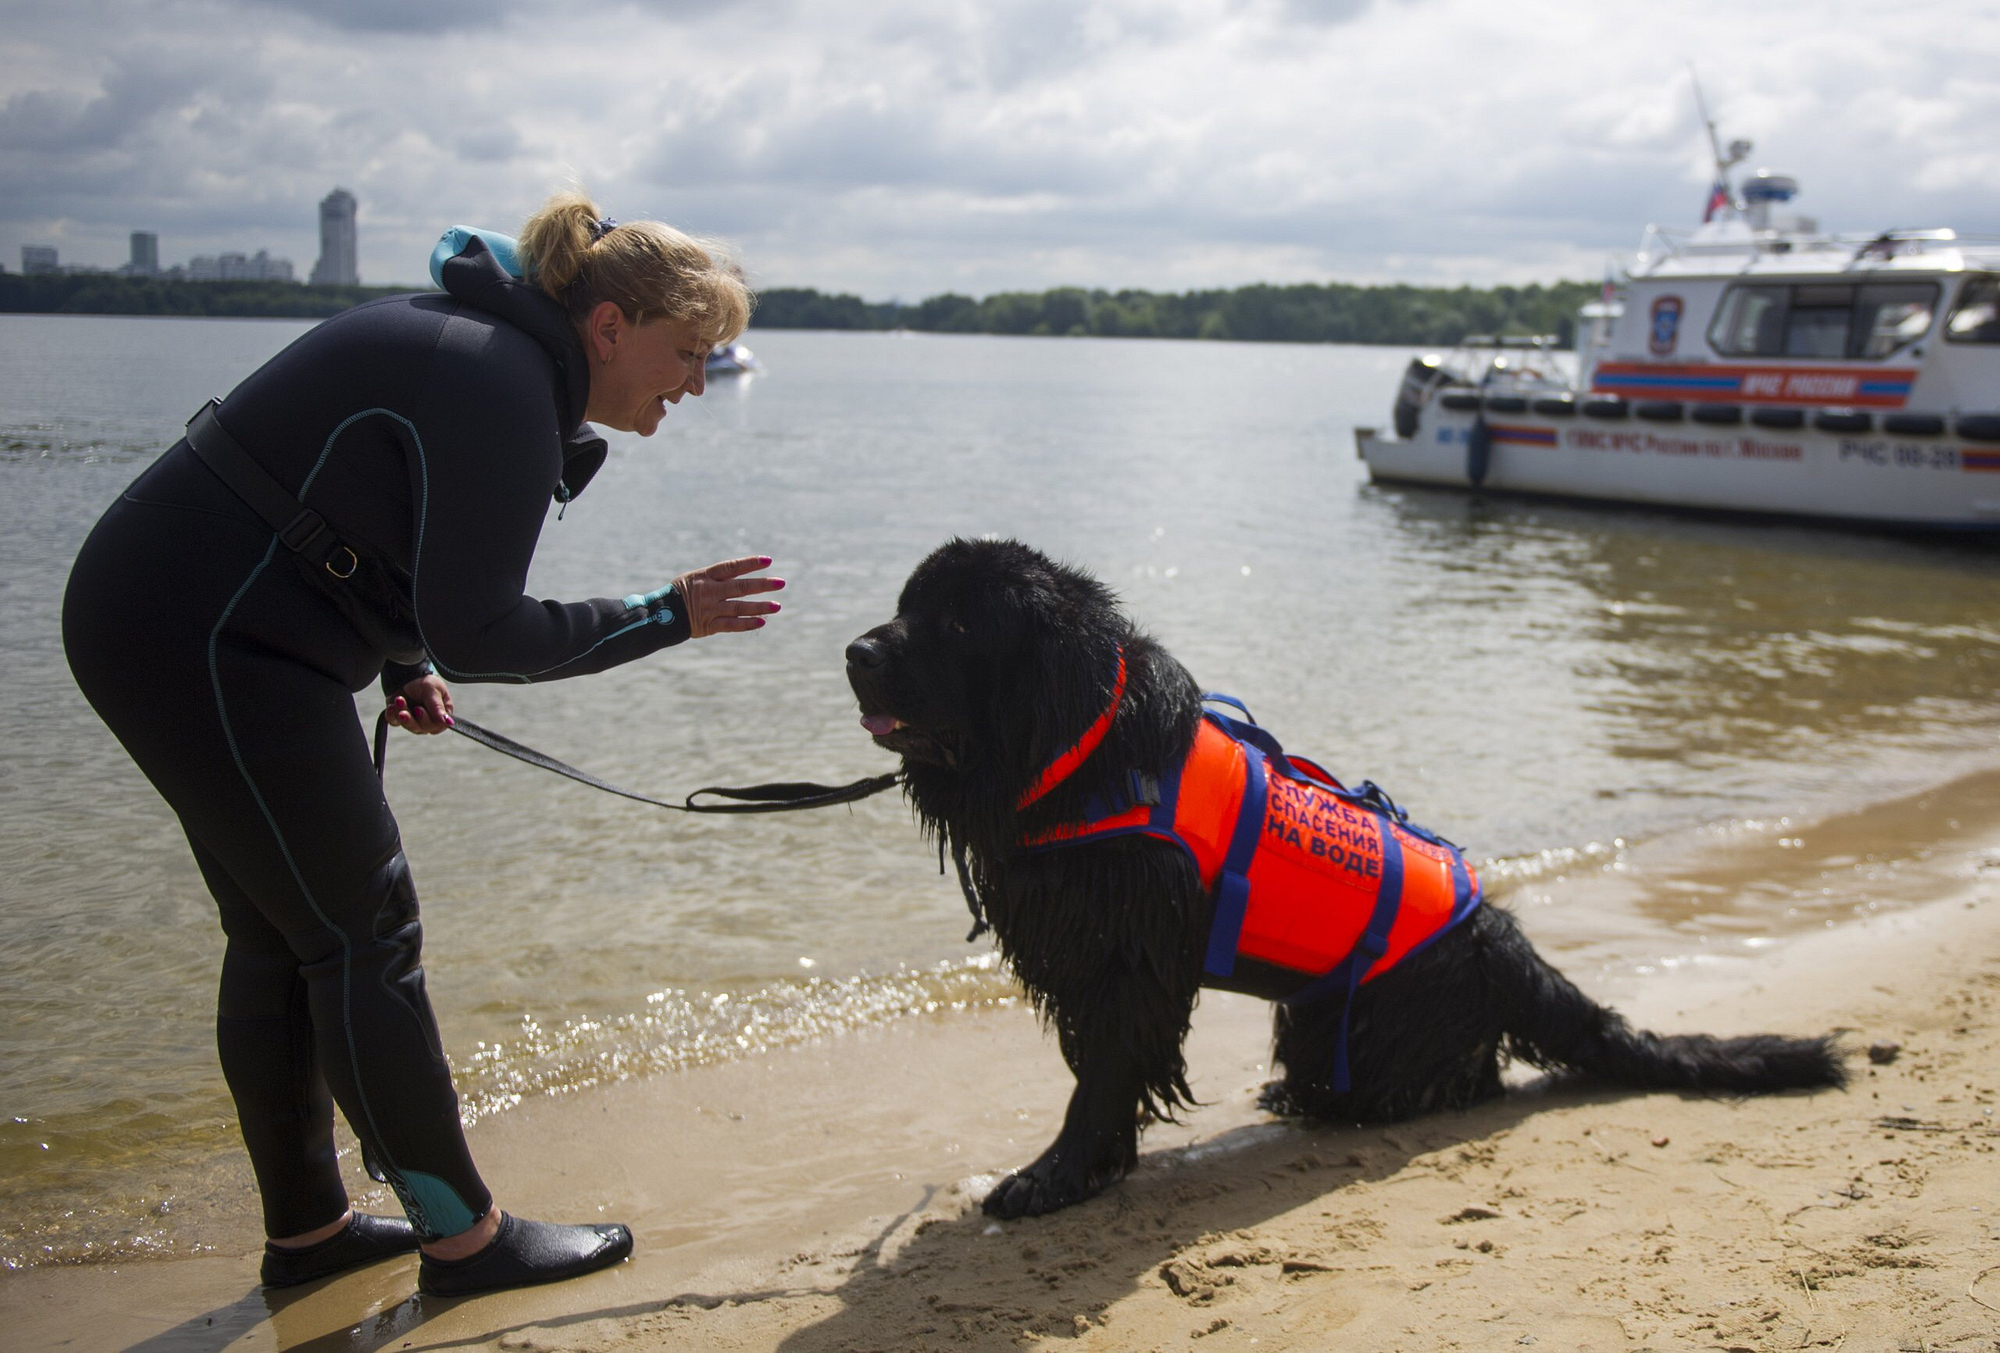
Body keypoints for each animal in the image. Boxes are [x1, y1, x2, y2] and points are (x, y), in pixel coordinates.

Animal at [844, 532, 1840, 1216]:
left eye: (959, 622)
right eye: (905, 603)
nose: (855, 652)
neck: (1077, 745)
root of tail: (1505, 940)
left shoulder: (1128, 959)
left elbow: (1105, 1071)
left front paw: (1052, 1177)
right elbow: (1097, 1065)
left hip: (1361, 1021)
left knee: (1462, 1077)